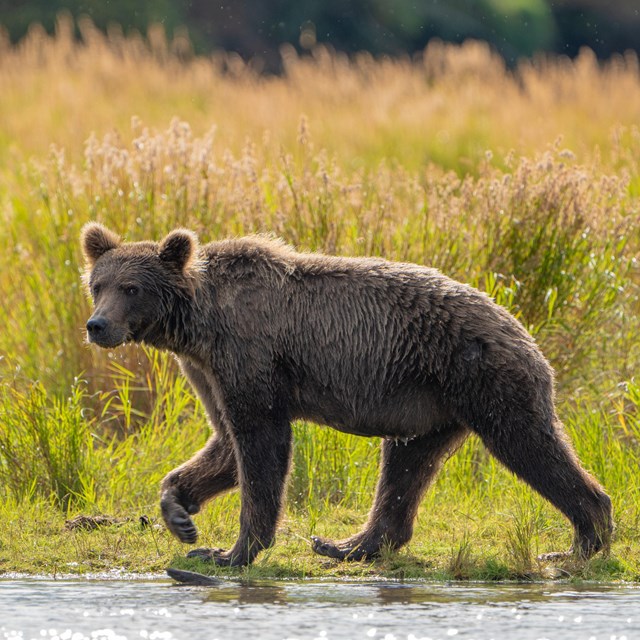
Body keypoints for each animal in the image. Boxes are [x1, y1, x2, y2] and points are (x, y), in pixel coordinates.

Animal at [81, 222, 613, 567]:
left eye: (131, 287)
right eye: (97, 284)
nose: (97, 325)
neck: (198, 323)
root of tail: (523, 330)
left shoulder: (251, 355)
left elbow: (260, 444)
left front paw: (230, 550)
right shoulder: (206, 370)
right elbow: (226, 444)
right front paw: (180, 514)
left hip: (483, 377)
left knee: (527, 444)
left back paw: (579, 543)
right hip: (428, 407)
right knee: (405, 467)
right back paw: (346, 544)